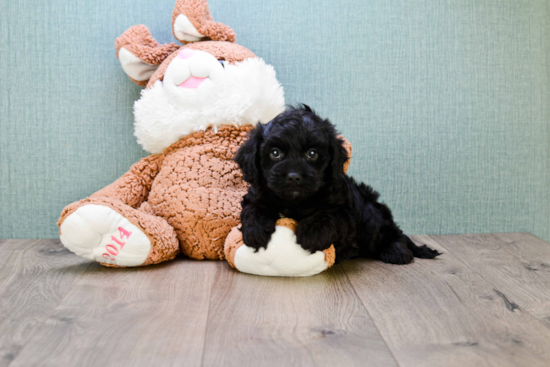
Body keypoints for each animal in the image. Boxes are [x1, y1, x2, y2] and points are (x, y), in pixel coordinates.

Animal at [235, 105, 442, 264]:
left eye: (312, 153)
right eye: (275, 153)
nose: (294, 177)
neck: (294, 202)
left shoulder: (345, 209)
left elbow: (330, 214)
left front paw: (311, 233)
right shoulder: (256, 194)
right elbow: (253, 207)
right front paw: (255, 229)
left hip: (372, 214)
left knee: (392, 234)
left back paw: (396, 251)